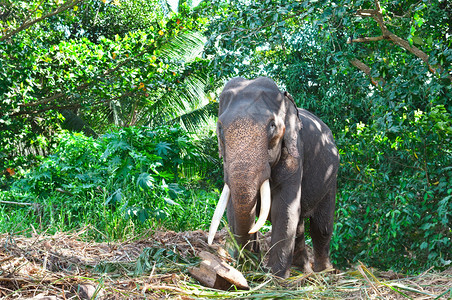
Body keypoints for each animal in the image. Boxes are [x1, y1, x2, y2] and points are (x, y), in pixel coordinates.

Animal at [208, 76, 340, 278]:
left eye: (272, 126)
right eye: (220, 128)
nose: (249, 262)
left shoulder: (295, 153)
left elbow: (284, 209)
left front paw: (274, 276)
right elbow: (232, 208)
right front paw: (249, 267)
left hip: (330, 179)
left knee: (321, 227)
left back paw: (323, 273)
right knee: (300, 225)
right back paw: (302, 271)